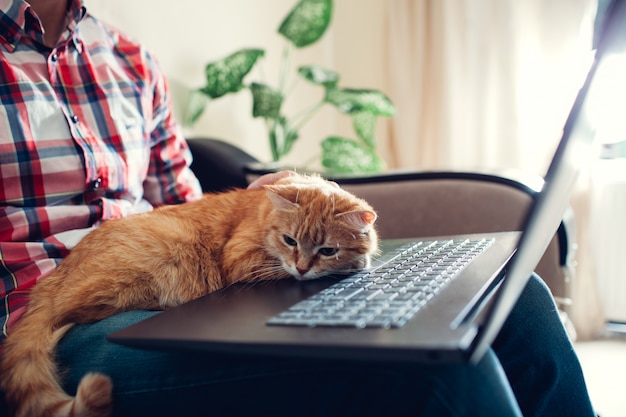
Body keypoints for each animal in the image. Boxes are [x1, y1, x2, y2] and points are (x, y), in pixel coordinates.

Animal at [1, 173, 376, 416]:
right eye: (290, 241)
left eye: (327, 250)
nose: (301, 269)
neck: (260, 211)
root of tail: (49, 283)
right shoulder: (241, 259)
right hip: (167, 247)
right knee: (73, 312)